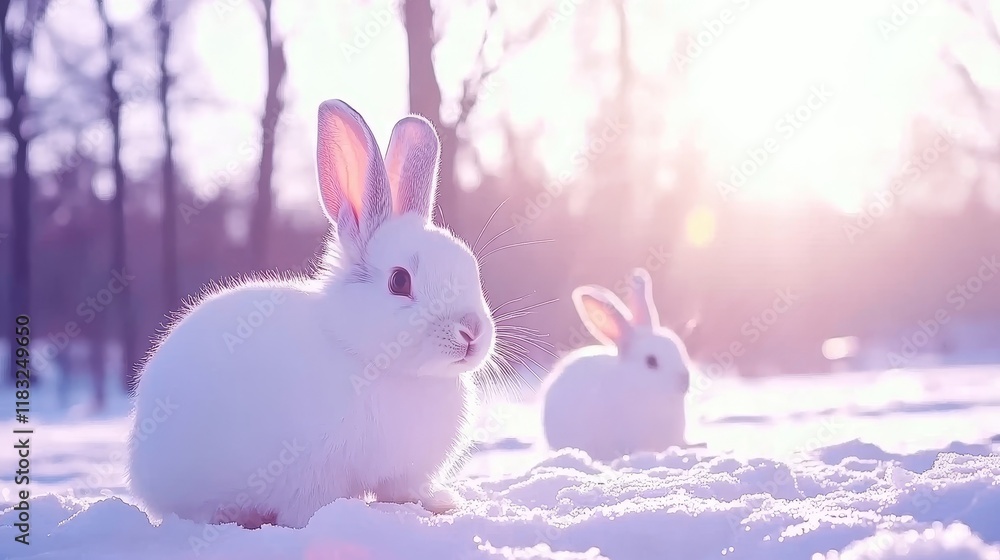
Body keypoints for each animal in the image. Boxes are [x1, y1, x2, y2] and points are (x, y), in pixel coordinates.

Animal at [126, 99, 496, 530]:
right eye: (400, 281)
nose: (471, 331)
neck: (370, 360)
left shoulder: (404, 473)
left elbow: (403, 490)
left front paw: (439, 503)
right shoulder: (310, 471)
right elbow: (309, 506)